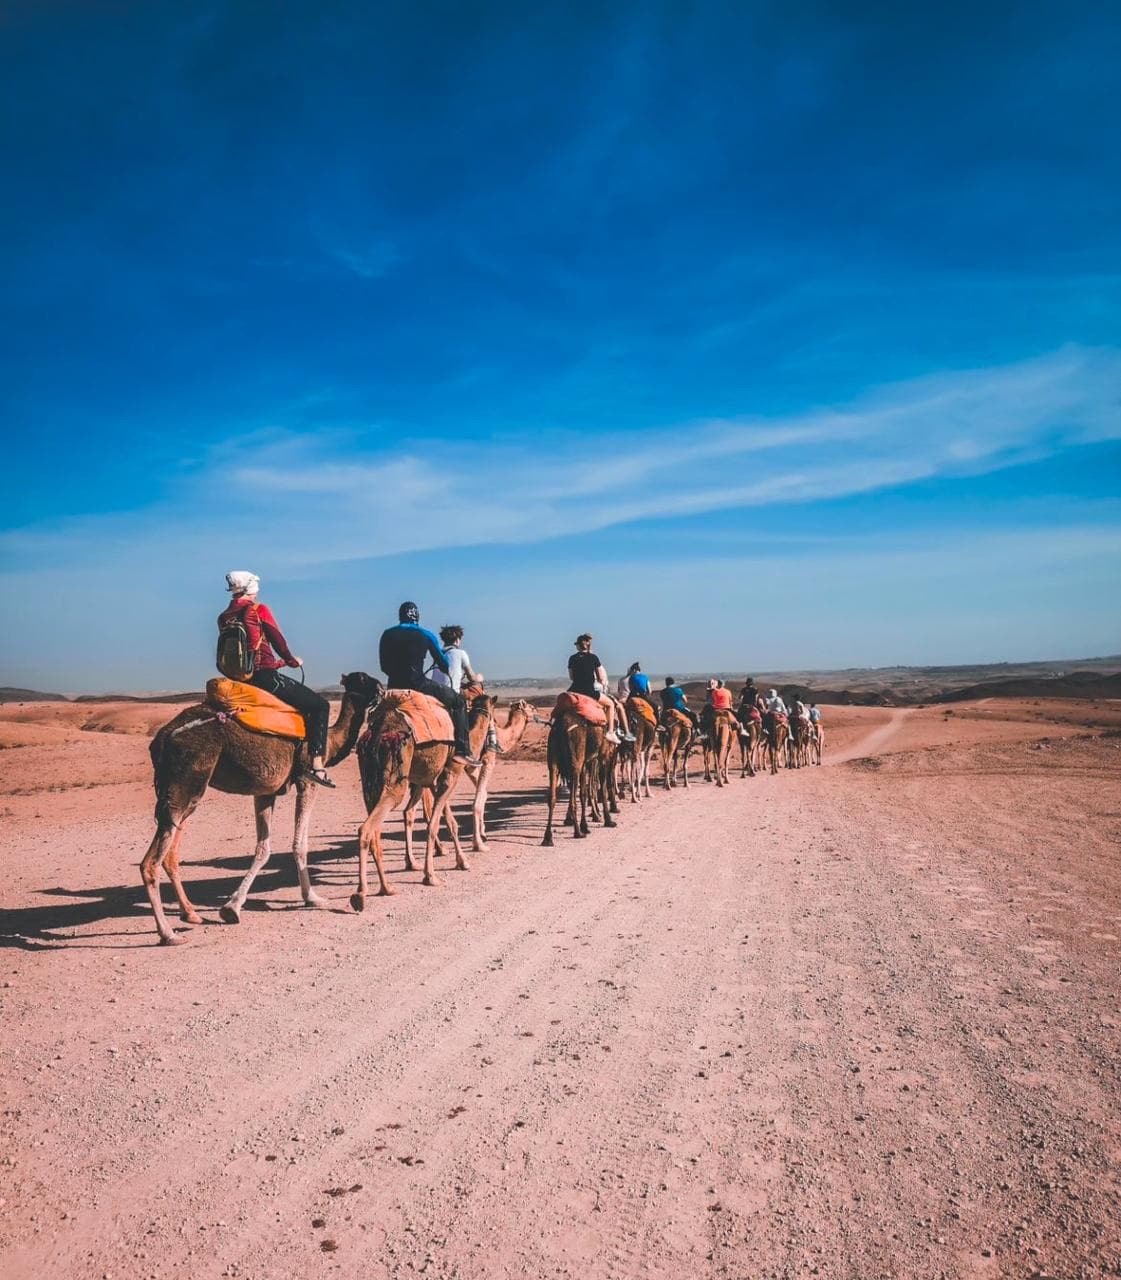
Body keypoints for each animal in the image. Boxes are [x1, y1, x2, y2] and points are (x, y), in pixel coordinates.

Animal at [140, 671, 380, 945]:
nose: (382, 689)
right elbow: (299, 844)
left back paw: (190, 914)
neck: (329, 742)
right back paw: (168, 933)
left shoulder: (266, 792)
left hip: (183, 793)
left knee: (170, 852)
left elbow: (263, 848)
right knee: (150, 863)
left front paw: (231, 907)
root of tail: (162, 738)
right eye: (363, 679)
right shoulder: (307, 781)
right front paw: (313, 898)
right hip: (186, 782)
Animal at [351, 690, 468, 908]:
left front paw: (460, 860)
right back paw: (361, 893)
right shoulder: (450, 772)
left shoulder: (427, 779)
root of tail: (379, 733)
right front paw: (431, 876)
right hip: (394, 781)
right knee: (367, 828)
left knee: (375, 828)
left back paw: (386, 888)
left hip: (371, 784)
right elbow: (434, 823)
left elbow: (445, 819)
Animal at [542, 708, 608, 845]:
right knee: (574, 800)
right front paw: (605, 820)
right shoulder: (597, 758)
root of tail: (562, 726)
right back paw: (578, 832)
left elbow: (584, 792)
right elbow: (591, 790)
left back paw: (548, 837)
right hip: (575, 762)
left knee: (552, 798)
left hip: (553, 761)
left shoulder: (585, 764)